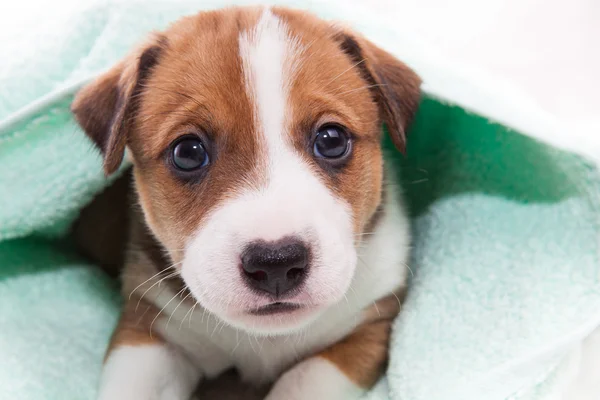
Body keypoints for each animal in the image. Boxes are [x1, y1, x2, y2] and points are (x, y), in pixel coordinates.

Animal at [72, 4, 420, 398]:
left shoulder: (367, 327)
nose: (276, 263)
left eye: (332, 140)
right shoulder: (149, 327)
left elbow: (303, 379)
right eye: (187, 152)